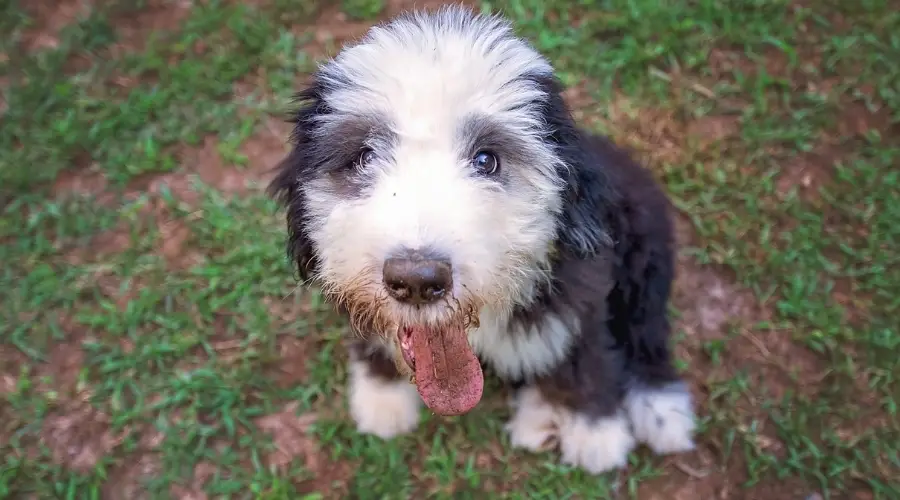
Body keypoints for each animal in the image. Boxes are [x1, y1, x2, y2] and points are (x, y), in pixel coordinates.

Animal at [270, 4, 700, 472]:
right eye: (364, 157)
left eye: (487, 160)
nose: (417, 281)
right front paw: (382, 399)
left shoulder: (582, 294)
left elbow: (589, 356)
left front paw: (595, 433)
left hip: (645, 251)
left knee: (646, 332)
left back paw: (661, 412)